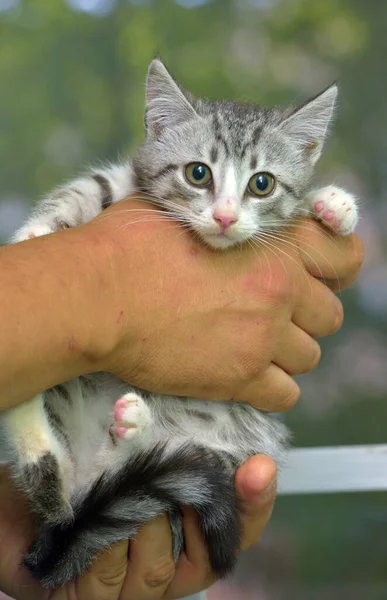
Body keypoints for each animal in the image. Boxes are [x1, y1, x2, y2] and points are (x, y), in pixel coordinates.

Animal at [1, 59, 360, 584]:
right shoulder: (123, 180)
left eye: (262, 184)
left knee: (76, 489)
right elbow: (90, 186)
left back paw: (126, 430)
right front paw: (39, 228)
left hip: (224, 456)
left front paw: (334, 204)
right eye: (197, 173)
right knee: (56, 494)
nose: (226, 217)